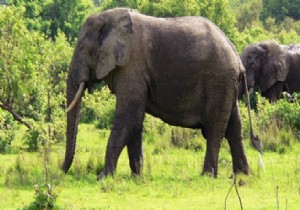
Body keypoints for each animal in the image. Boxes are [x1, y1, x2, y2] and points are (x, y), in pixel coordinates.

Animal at [62, 8, 262, 179]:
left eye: (82, 49)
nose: (62, 171)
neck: (108, 18)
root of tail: (237, 59)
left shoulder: (132, 65)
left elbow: (128, 115)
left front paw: (103, 177)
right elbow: (135, 120)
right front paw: (136, 177)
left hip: (218, 81)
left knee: (215, 128)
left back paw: (207, 175)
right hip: (227, 85)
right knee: (234, 127)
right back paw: (241, 176)